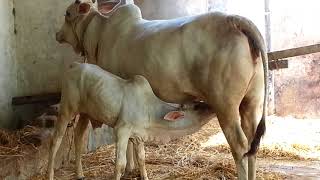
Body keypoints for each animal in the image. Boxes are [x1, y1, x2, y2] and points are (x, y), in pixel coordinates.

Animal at [47, 62, 214, 180]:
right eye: (197, 106)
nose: (213, 107)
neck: (150, 111)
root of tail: (75, 65)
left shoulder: (139, 135)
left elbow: (141, 158)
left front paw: (145, 177)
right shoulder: (121, 130)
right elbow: (120, 164)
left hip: (85, 113)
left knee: (78, 137)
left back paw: (80, 174)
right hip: (67, 109)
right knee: (55, 140)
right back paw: (50, 175)